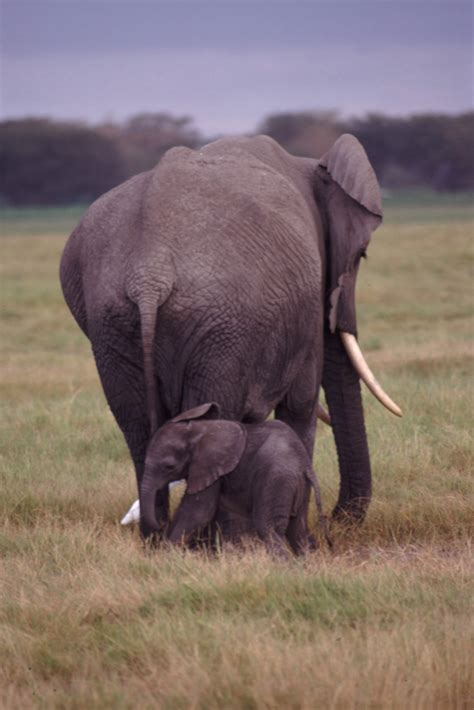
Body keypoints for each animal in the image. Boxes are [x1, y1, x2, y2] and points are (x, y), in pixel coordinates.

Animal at [59, 134, 400, 540]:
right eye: (361, 255)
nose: (339, 521)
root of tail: (149, 275)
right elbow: (300, 404)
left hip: (113, 324)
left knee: (138, 426)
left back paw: (157, 539)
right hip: (221, 324)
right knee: (211, 416)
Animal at [139, 404, 328, 560]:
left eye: (169, 467)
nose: (159, 525)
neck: (199, 431)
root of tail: (305, 464)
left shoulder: (212, 467)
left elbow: (197, 513)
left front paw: (165, 557)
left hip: (277, 479)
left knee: (269, 529)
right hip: (298, 486)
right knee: (298, 531)